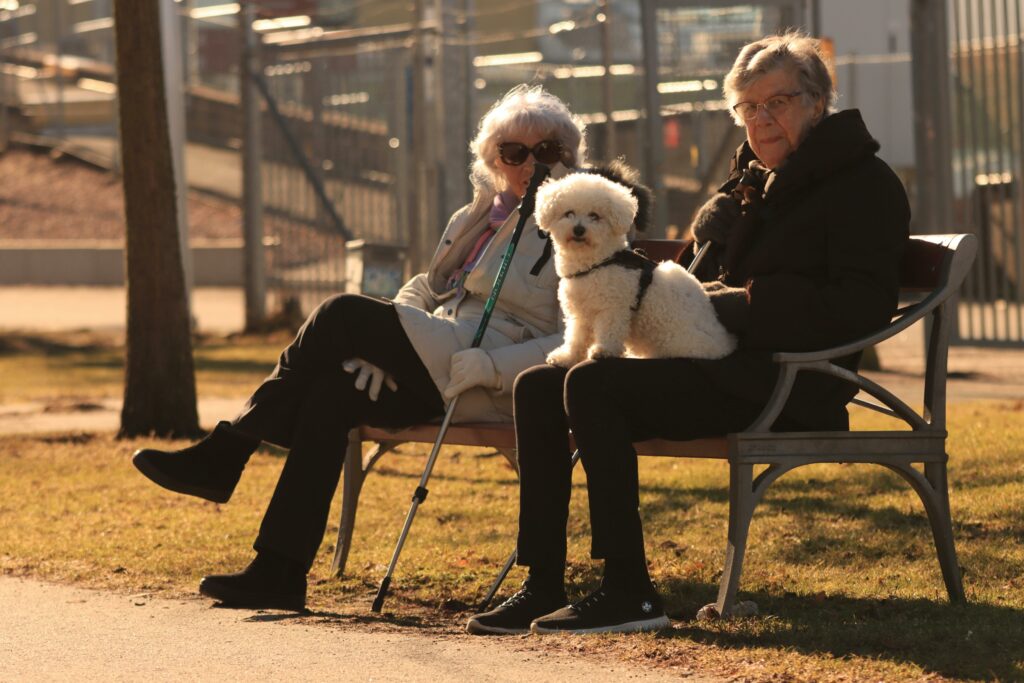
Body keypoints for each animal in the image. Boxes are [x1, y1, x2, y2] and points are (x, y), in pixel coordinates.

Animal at [536, 171, 737, 368]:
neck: (598, 263)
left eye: (595, 216)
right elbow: (575, 337)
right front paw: (566, 357)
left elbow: (609, 329)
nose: (579, 229)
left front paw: (604, 350)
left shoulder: (613, 307)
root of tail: (724, 346)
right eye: (568, 213)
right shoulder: (580, 314)